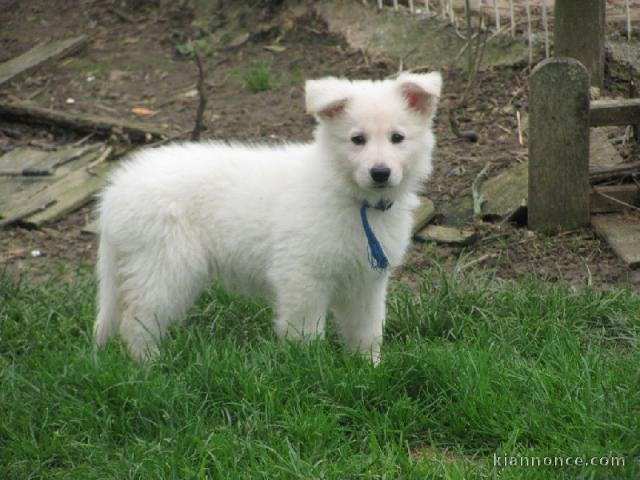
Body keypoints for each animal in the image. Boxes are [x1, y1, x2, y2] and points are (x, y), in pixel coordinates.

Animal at [95, 73, 442, 362]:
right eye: (358, 139)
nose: (380, 173)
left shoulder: (366, 282)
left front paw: (369, 369)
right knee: (137, 321)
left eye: (398, 138)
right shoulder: (302, 276)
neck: (353, 198)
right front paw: (310, 370)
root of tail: (116, 189)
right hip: (165, 265)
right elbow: (305, 333)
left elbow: (367, 331)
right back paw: (150, 366)